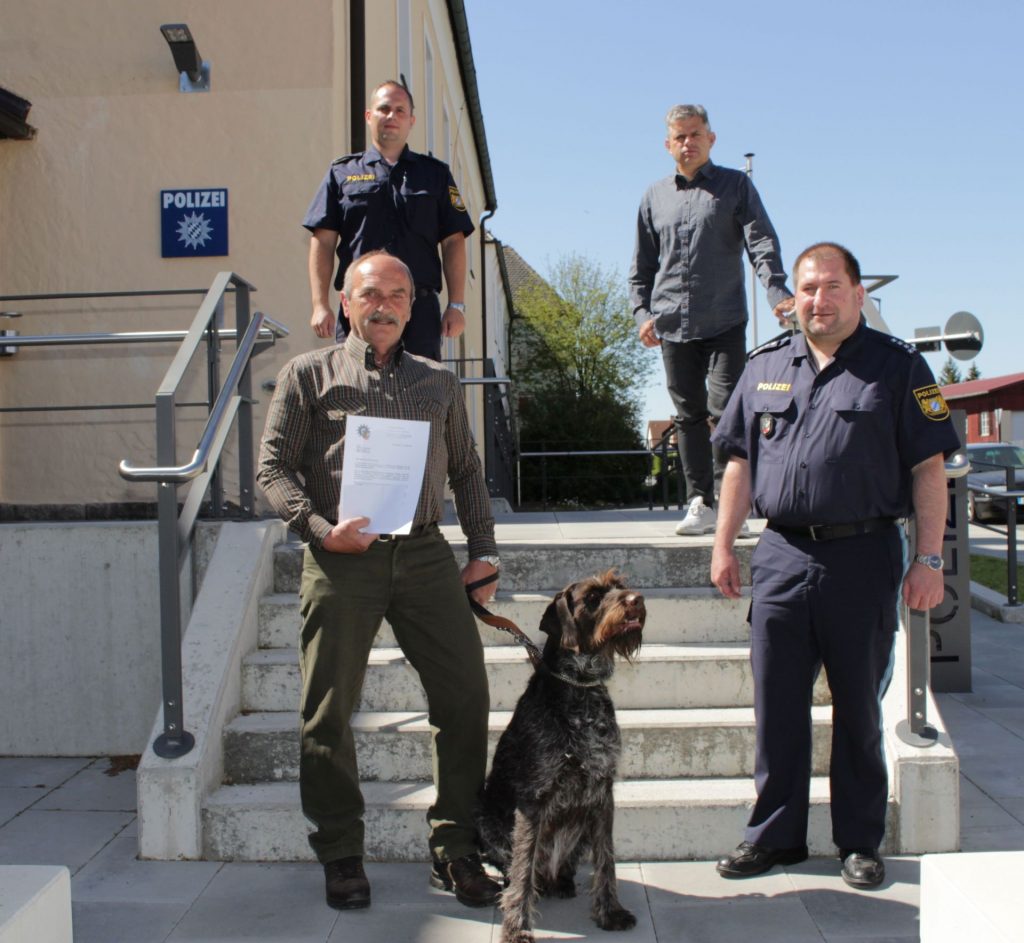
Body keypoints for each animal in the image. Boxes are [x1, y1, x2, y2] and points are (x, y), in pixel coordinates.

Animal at [475, 565, 643, 941]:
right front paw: (517, 928)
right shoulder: (533, 798)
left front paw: (610, 912)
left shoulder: (603, 792)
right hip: (488, 823)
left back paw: (562, 882)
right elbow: (523, 870)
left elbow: (607, 860)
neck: (581, 687)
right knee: (518, 871)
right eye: (592, 597)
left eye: (620, 585)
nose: (637, 599)